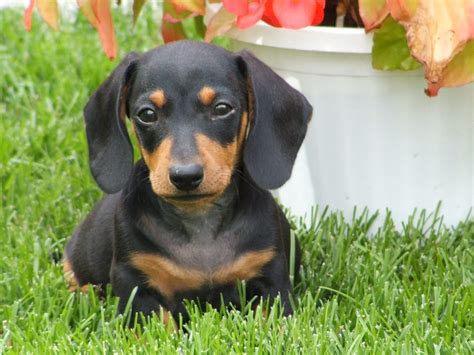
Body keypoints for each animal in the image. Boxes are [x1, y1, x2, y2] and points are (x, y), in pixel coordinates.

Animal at [64, 40, 314, 322]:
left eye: (222, 108)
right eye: (147, 114)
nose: (185, 176)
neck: (199, 222)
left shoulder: (272, 282)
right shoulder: (136, 288)